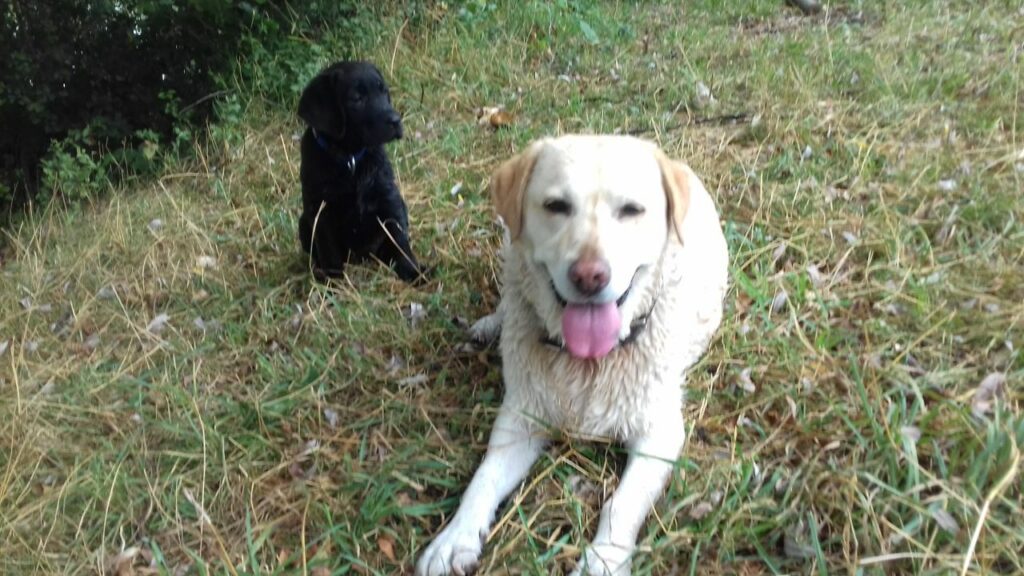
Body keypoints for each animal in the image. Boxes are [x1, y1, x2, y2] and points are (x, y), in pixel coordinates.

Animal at [299, 60, 425, 282]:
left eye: (383, 91)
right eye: (357, 98)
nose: (396, 120)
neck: (350, 161)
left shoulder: (389, 199)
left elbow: (399, 241)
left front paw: (413, 272)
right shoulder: (321, 211)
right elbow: (329, 251)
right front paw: (334, 284)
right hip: (303, 224)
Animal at [415, 135, 729, 573]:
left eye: (631, 210)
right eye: (556, 206)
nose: (589, 276)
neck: (590, 362)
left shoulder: (660, 433)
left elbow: (621, 504)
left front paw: (602, 560)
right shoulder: (521, 418)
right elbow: (483, 480)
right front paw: (453, 539)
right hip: (509, 251)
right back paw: (490, 325)